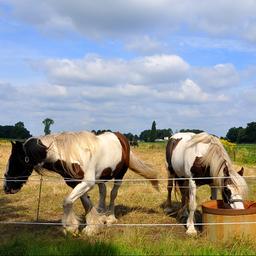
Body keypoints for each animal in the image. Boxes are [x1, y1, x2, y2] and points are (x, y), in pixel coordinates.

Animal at [3, 131, 158, 235]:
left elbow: (67, 201)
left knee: (113, 193)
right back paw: (102, 213)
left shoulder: (87, 183)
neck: (70, 155)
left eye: (15, 161)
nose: (6, 187)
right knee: (103, 191)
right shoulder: (75, 183)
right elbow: (86, 203)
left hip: (119, 176)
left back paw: (110, 218)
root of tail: (121, 137)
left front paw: (72, 227)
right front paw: (93, 224)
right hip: (101, 177)